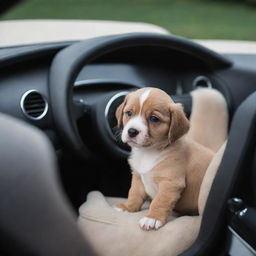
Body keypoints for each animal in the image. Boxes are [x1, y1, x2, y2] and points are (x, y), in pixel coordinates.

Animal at [114, 87, 214, 230]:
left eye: (154, 118)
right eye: (128, 113)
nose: (132, 131)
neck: (147, 152)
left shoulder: (170, 183)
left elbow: (159, 201)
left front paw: (152, 218)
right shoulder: (138, 177)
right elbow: (134, 194)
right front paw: (128, 208)